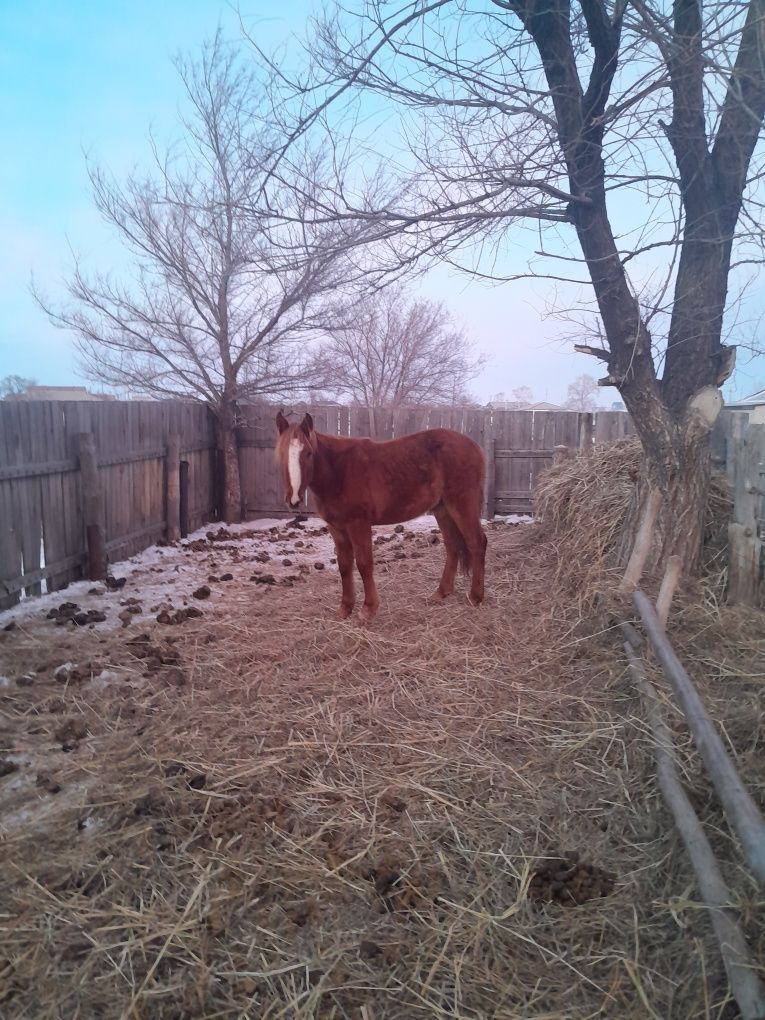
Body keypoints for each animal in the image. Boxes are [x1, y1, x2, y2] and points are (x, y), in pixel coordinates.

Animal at [279, 408, 487, 620]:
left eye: (308, 453)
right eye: (280, 453)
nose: (293, 499)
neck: (338, 472)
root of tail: (474, 446)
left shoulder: (358, 524)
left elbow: (364, 564)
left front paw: (368, 609)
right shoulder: (336, 527)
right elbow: (344, 565)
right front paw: (345, 608)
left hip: (461, 504)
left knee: (477, 543)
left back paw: (475, 597)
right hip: (442, 509)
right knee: (452, 546)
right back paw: (441, 592)